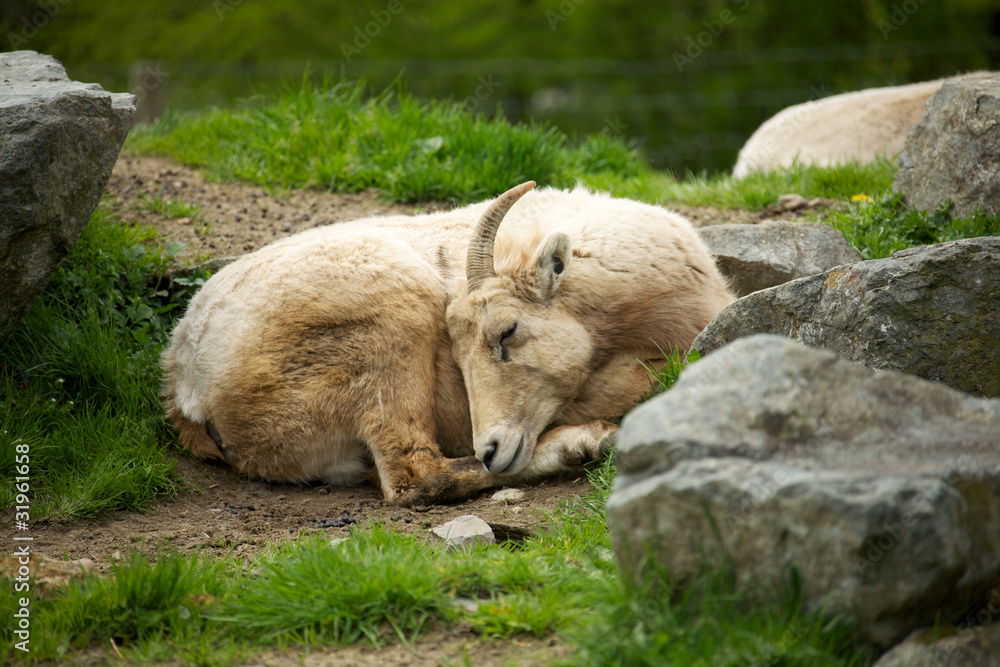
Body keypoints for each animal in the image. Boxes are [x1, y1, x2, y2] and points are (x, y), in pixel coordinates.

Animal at [162, 182, 734, 505]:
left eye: (506, 331)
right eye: (455, 355)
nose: (492, 448)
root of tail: (189, 388)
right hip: (388, 327)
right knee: (415, 477)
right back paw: (585, 443)